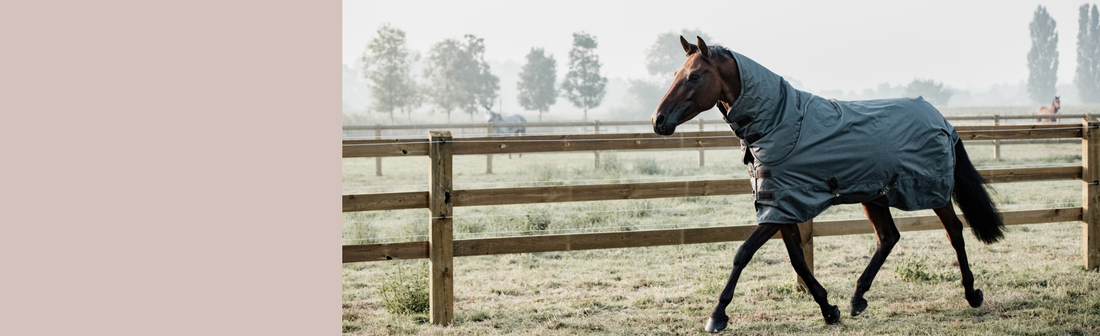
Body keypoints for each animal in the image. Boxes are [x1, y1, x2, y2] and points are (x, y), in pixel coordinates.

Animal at [651, 35, 1007, 330]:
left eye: (694, 76)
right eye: (675, 74)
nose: (658, 120)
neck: (778, 121)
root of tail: (940, 117)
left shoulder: (779, 208)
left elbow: (743, 252)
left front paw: (717, 315)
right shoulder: (780, 206)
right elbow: (797, 259)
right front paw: (829, 309)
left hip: (932, 191)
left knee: (954, 232)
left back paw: (972, 293)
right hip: (874, 196)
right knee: (888, 237)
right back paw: (857, 298)